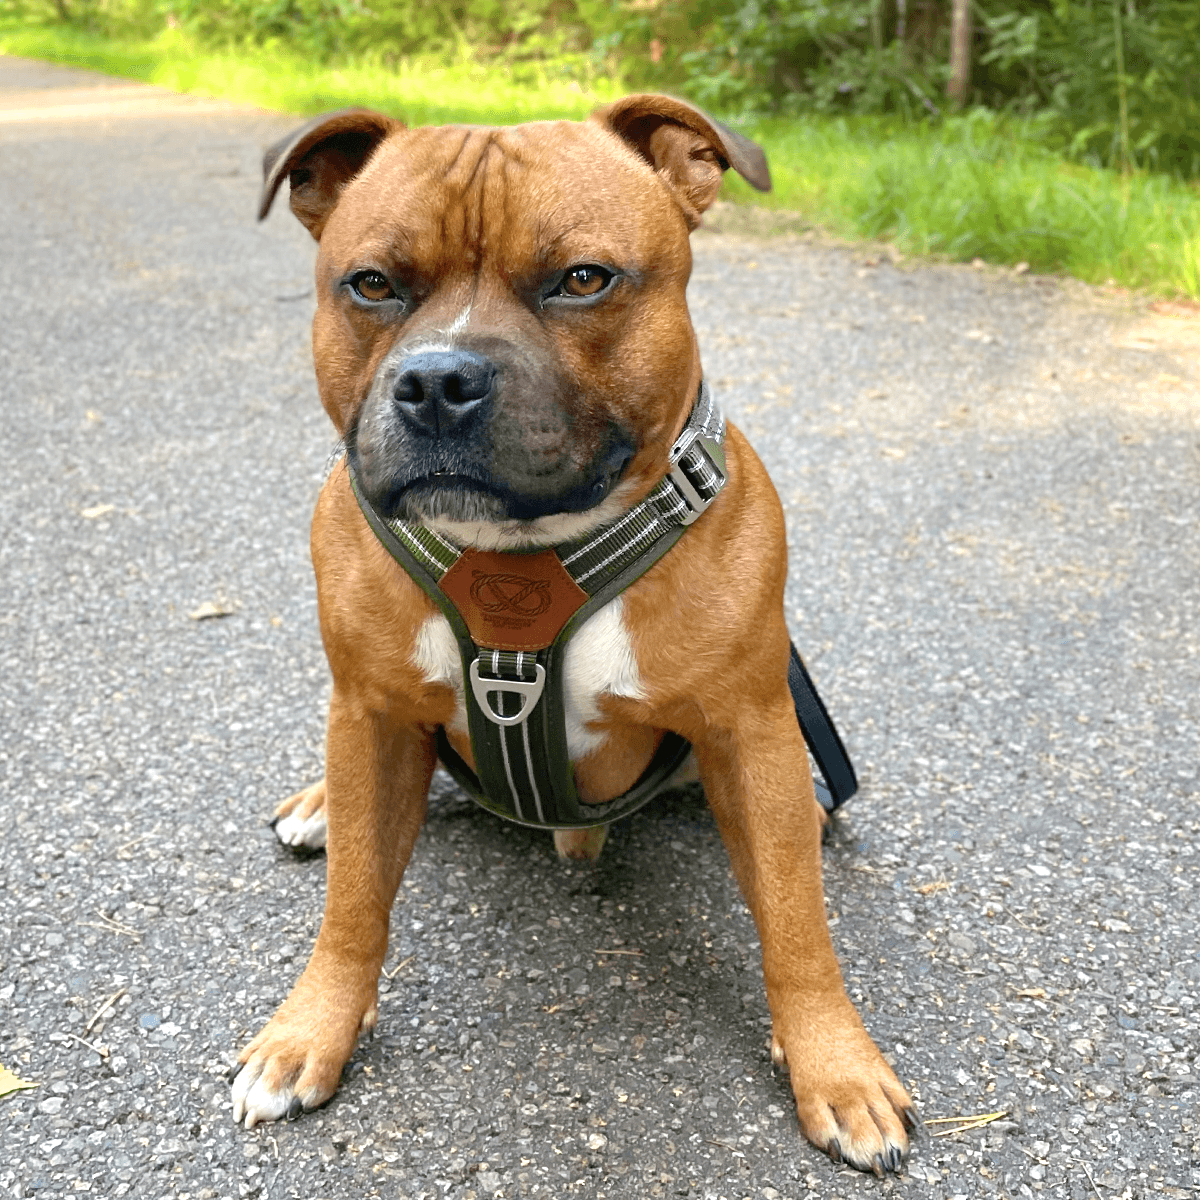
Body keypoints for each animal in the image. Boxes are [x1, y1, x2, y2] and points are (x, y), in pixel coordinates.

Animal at [229, 91, 912, 1171]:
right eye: (372, 285)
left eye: (582, 280)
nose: (436, 380)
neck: (521, 556)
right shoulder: (370, 715)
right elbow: (353, 907)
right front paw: (308, 1034)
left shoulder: (753, 731)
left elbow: (799, 925)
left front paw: (836, 1068)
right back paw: (319, 807)